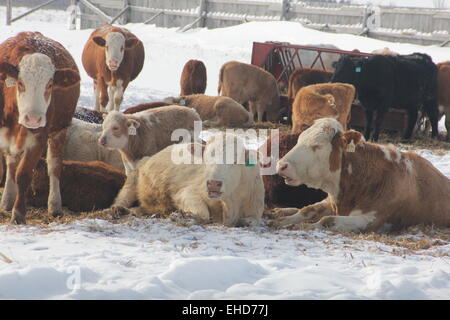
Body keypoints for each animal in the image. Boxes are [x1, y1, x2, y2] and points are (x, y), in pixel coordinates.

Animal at [0, 31, 80, 224]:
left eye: (50, 85)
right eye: (20, 83)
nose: (33, 118)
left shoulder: (38, 138)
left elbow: (23, 174)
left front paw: (18, 214)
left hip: (59, 130)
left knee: (54, 165)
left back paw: (55, 205)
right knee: (11, 163)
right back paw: (6, 200)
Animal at [110, 132, 264, 228]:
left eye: (235, 161)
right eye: (206, 158)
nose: (213, 184)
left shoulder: (255, 209)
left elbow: (251, 221)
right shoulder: (186, 193)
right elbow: (204, 213)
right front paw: (181, 216)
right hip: (132, 181)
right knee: (121, 198)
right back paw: (119, 210)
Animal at [274, 117, 450, 232]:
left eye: (318, 145)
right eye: (299, 139)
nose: (281, 165)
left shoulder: (369, 220)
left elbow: (326, 220)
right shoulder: (331, 201)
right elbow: (307, 210)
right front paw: (282, 220)